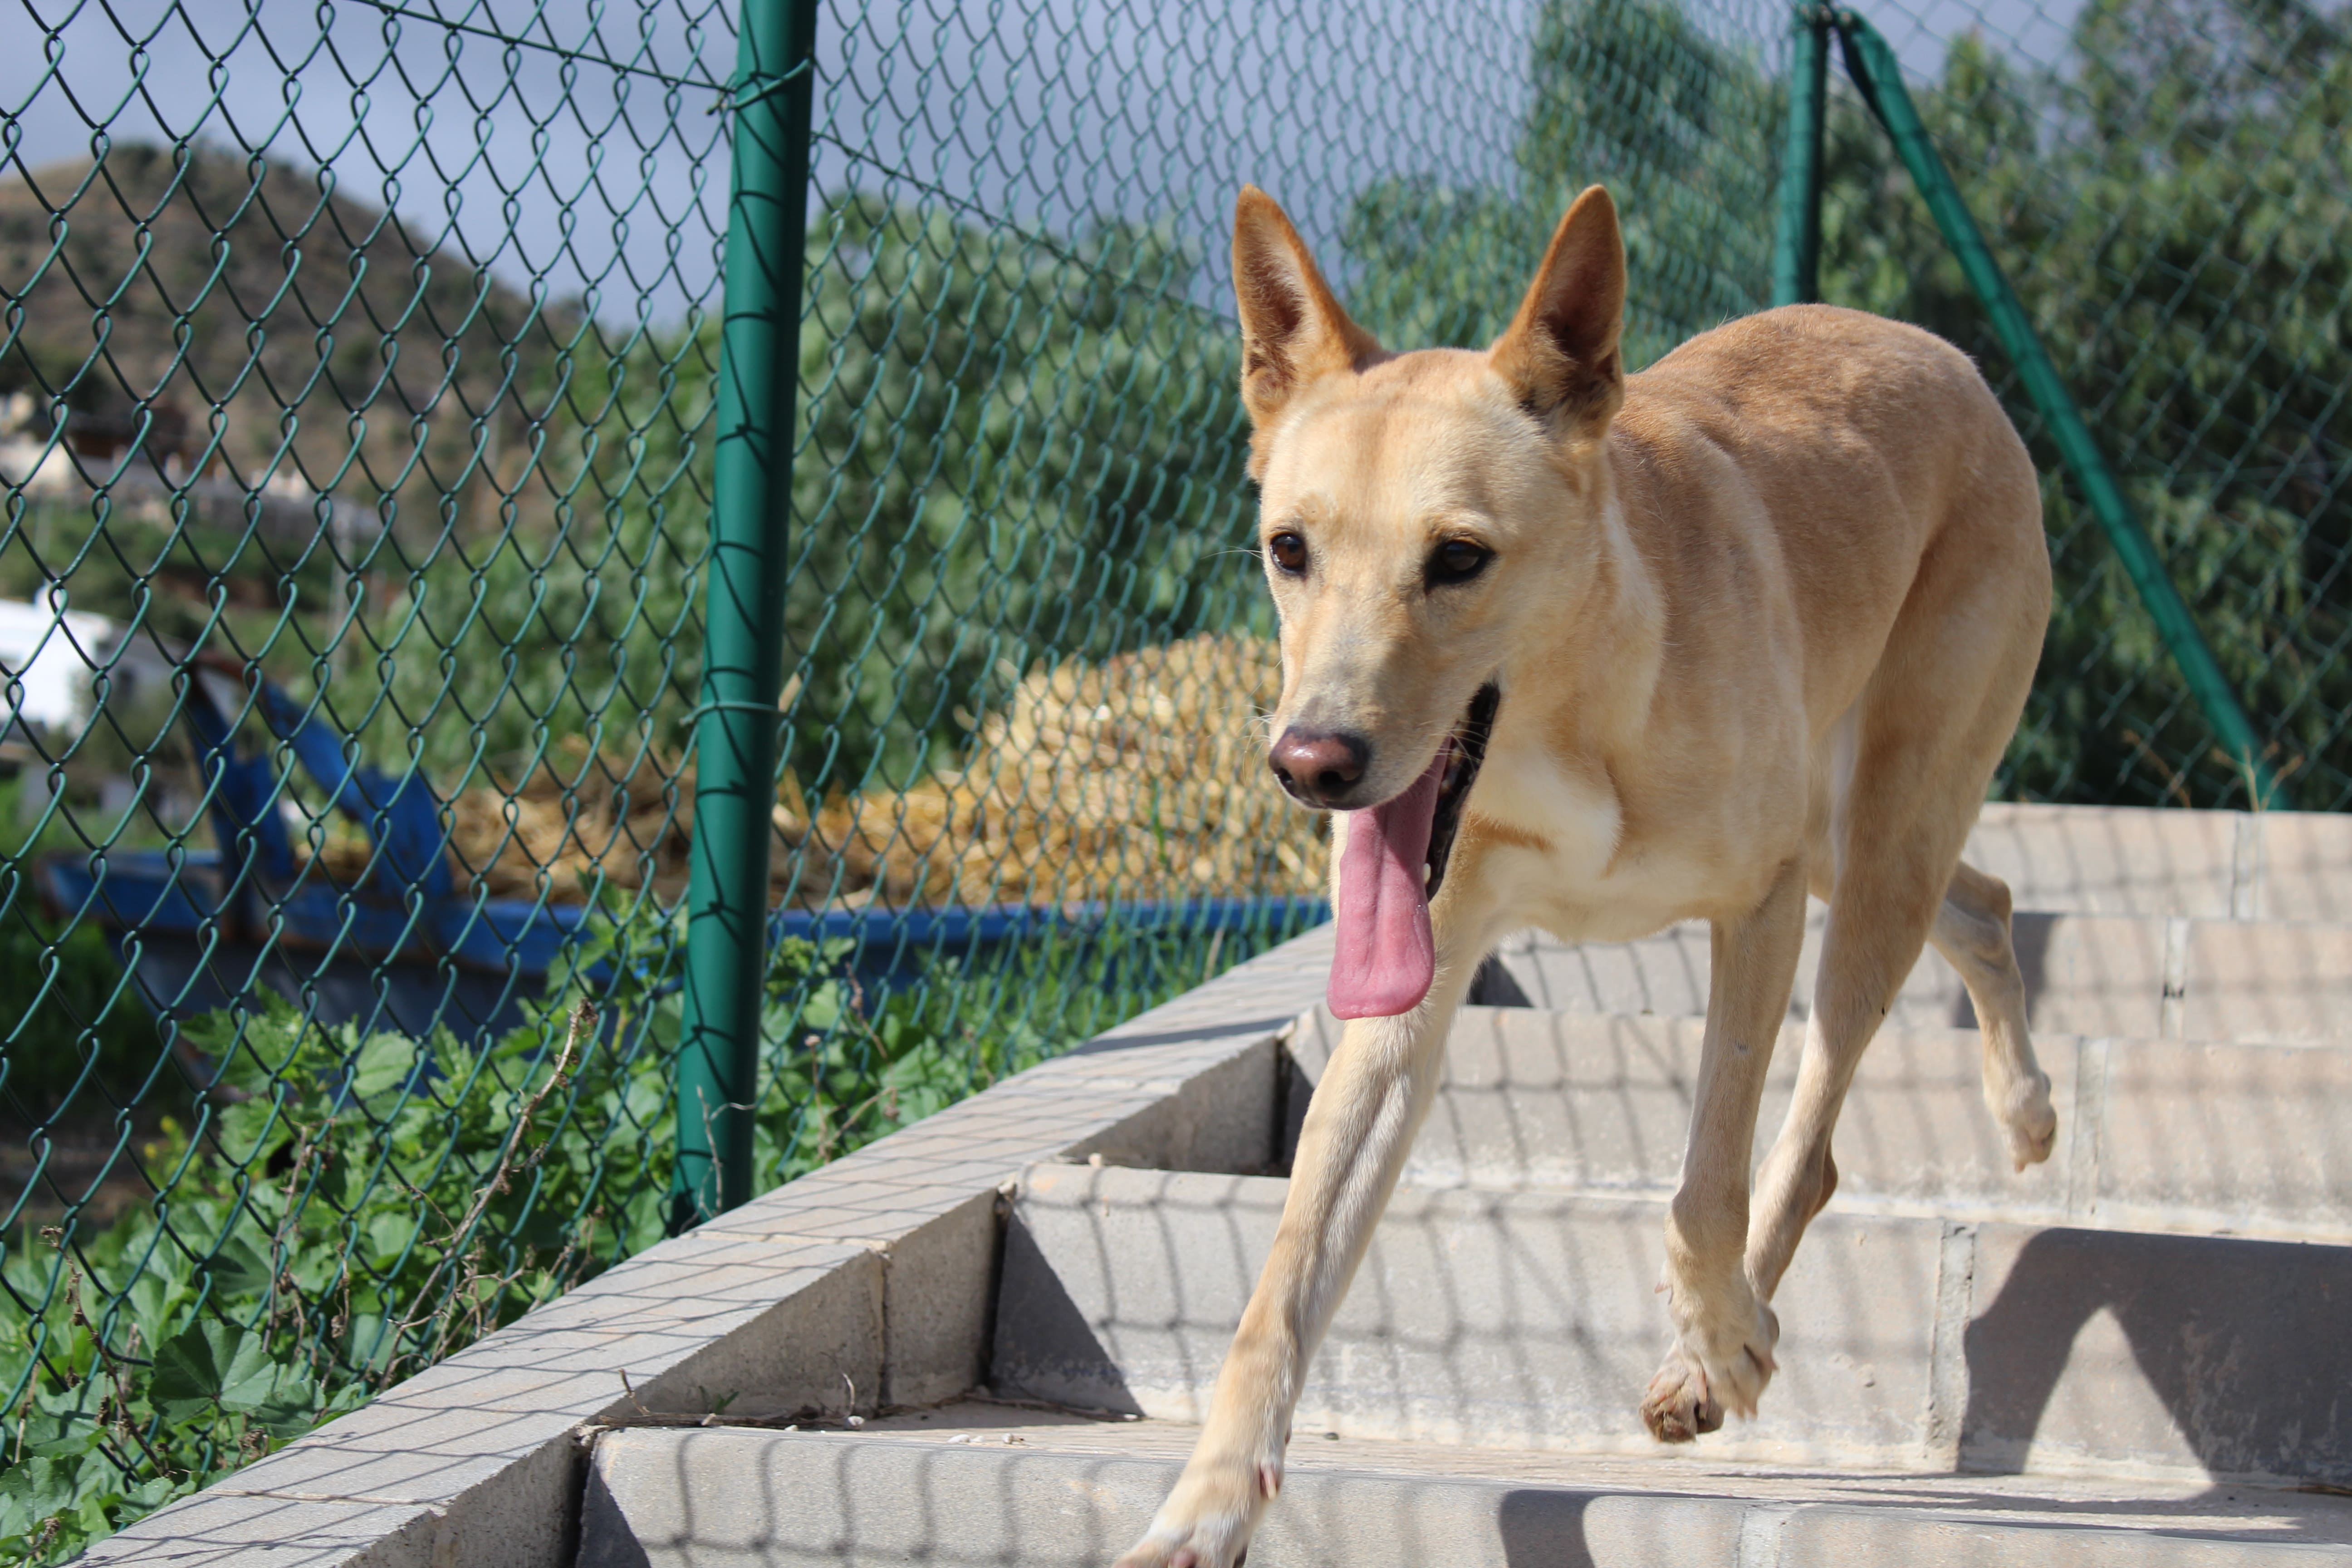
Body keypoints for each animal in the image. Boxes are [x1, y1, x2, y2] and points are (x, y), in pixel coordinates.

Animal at [1110, 186, 2051, 1568]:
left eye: (1458, 558)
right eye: (1288, 549)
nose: (1310, 764)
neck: (1569, 720)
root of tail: (1939, 352)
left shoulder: (1758, 906)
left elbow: (1705, 1183)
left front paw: (1722, 1345)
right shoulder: (1405, 1000)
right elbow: (1282, 1276)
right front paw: (1207, 1500)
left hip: (1873, 847)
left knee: (1812, 1127)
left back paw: (1728, 1340)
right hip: (1856, 833)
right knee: (1980, 905)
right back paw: (2027, 1106)